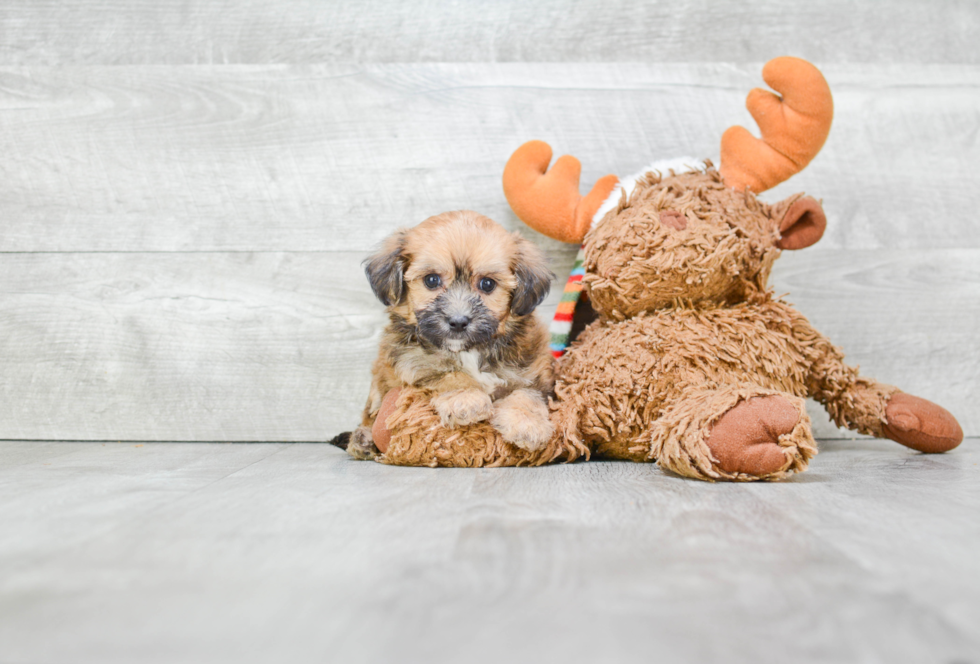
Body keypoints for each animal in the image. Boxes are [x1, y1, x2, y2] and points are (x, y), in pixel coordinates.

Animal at [346, 210, 560, 460]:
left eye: (487, 284)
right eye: (431, 280)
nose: (458, 322)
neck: (469, 350)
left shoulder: (533, 367)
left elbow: (528, 393)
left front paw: (527, 424)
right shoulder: (411, 360)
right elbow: (447, 373)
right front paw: (466, 398)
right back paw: (363, 439)